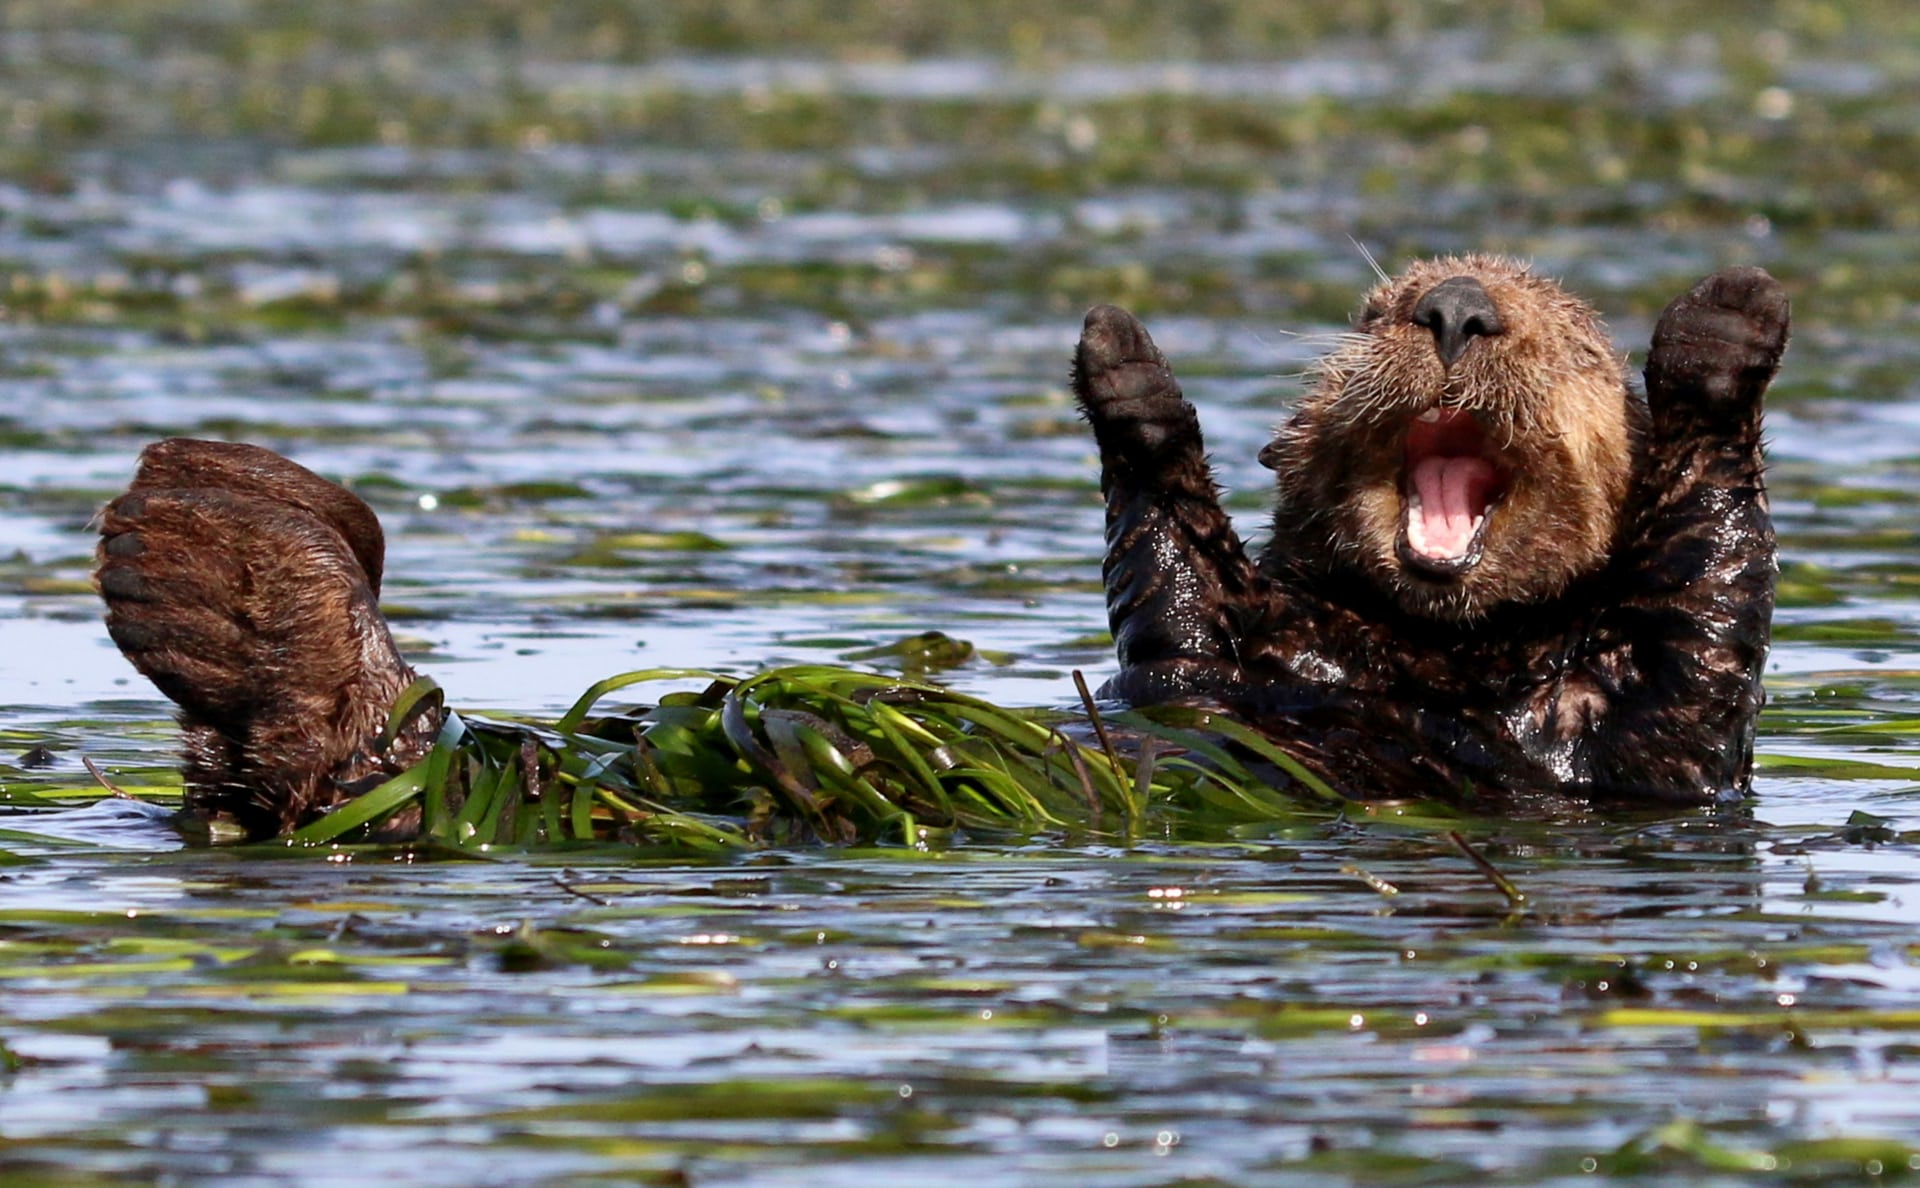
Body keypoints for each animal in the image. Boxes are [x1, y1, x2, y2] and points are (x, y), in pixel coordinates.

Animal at [1082, 255, 1781, 802]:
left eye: (1575, 344)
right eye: (1375, 313)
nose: (1456, 307)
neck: (1438, 651)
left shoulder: (1643, 724)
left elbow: (1707, 605)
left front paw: (1729, 317)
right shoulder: (1209, 650)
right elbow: (1177, 585)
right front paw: (1122, 358)